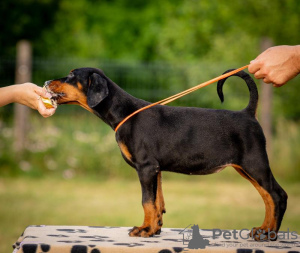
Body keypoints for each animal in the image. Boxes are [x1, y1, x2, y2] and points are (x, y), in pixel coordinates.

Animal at [44, 67, 286, 241]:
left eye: (72, 75)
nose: (46, 82)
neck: (125, 113)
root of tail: (248, 113)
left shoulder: (146, 167)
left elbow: (147, 201)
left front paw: (144, 230)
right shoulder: (156, 169)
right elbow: (158, 201)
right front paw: (155, 228)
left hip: (254, 163)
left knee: (277, 195)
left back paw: (269, 234)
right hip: (245, 167)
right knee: (267, 197)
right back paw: (263, 230)